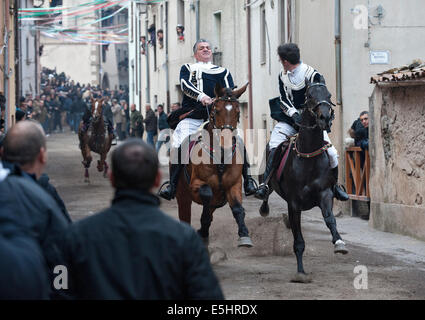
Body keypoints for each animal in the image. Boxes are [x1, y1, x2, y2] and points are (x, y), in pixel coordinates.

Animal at [175, 82, 252, 248]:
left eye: (238, 112)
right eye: (216, 110)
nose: (227, 144)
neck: (220, 157)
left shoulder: (234, 185)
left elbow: (238, 208)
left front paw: (244, 234)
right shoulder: (195, 185)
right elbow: (206, 193)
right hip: (182, 197)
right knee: (186, 216)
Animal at [260, 77, 346, 282]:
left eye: (329, 95)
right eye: (309, 96)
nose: (325, 118)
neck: (309, 159)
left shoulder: (325, 194)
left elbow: (330, 219)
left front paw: (338, 242)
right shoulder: (294, 204)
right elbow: (298, 240)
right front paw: (300, 272)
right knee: (265, 190)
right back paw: (263, 201)